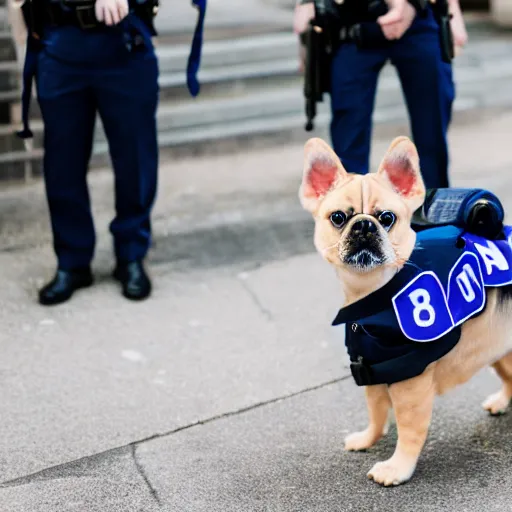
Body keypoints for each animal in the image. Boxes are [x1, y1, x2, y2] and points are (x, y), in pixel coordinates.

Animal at [298, 137, 512, 488]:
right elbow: (376, 412)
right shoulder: (370, 369)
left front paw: (398, 467)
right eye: (338, 217)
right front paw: (368, 439)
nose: (364, 225)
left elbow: (409, 431)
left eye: (386, 217)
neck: (374, 294)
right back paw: (500, 401)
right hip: (499, 349)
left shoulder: (410, 384)